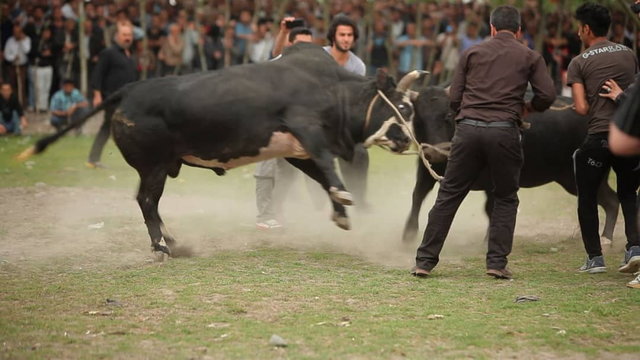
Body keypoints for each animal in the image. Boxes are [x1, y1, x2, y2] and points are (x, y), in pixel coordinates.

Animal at [18, 43, 420, 256]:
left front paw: (340, 212)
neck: (333, 87)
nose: (407, 141)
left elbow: (322, 177)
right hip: (154, 167)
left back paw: (172, 240)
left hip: (158, 168)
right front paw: (344, 199)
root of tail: (129, 90)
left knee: (150, 202)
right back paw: (161, 246)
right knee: (146, 201)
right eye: (401, 106)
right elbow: (327, 166)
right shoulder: (305, 128)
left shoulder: (296, 151)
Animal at [404, 86, 620, 245]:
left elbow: (490, 208)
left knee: (611, 201)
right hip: (572, 180)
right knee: (610, 200)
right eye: (419, 117)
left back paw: (606, 239)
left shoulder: (494, 180)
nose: (434, 152)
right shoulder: (425, 170)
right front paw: (408, 233)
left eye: (447, 115)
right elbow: (417, 196)